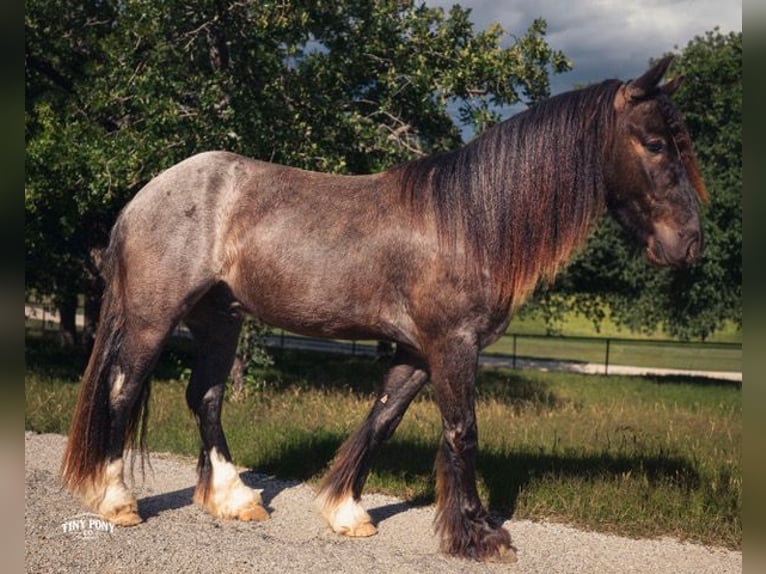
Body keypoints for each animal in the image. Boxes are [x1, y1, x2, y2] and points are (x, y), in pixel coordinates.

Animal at [61, 55, 706, 562]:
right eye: (655, 144)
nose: (690, 243)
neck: (469, 222)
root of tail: (144, 196)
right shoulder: (452, 345)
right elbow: (462, 432)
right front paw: (478, 536)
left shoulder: (418, 351)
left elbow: (381, 420)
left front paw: (346, 510)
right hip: (153, 319)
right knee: (122, 390)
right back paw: (116, 500)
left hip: (220, 319)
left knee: (207, 397)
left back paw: (235, 498)